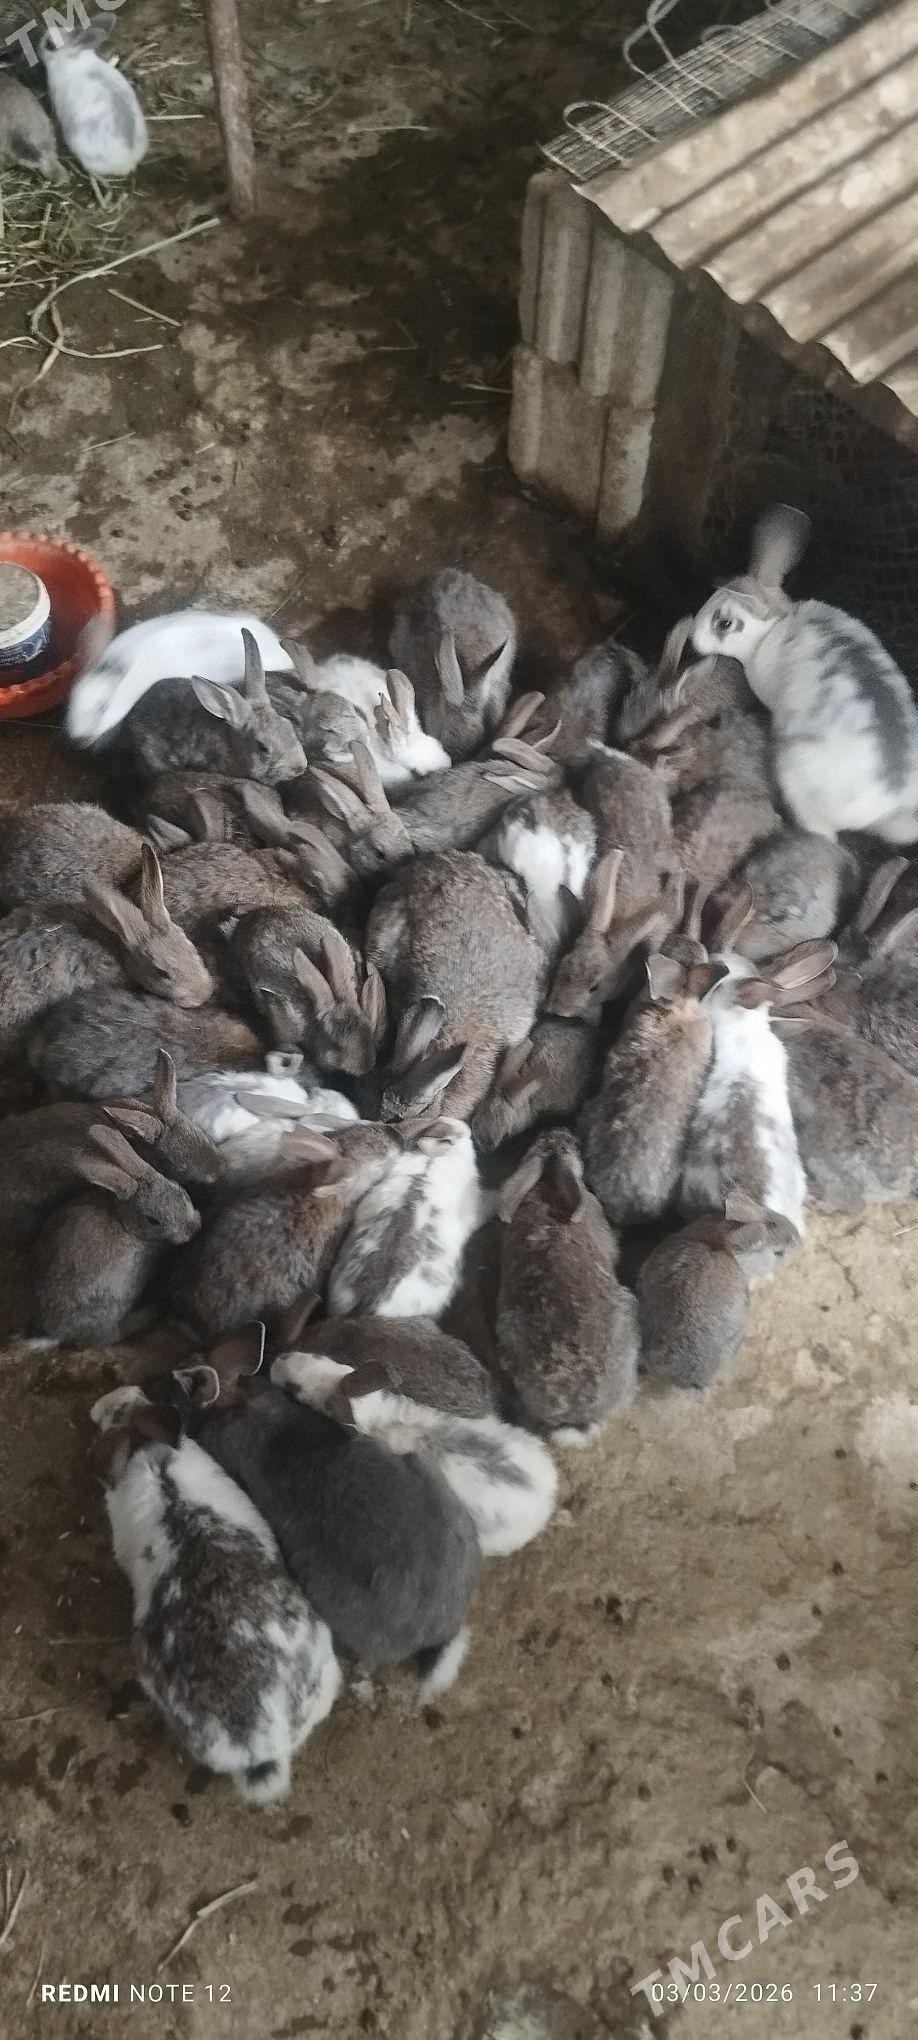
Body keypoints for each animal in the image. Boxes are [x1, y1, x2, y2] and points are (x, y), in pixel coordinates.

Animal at [27, 1125, 200, 1346]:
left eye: (179, 1188)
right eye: (153, 1220)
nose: (191, 1229)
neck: (125, 1222)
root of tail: (55, 1332)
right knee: (113, 1335)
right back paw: (150, 1310)